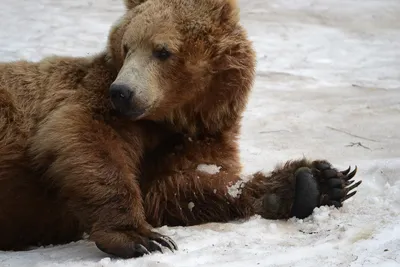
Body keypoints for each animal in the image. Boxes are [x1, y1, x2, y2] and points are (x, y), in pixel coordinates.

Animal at [0, 0, 360, 260]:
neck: (177, 115)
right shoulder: (95, 98)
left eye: (162, 50)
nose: (122, 92)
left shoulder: (200, 134)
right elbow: (87, 136)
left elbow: (184, 185)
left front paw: (317, 181)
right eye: (127, 46)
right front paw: (141, 237)